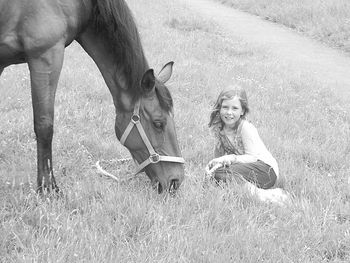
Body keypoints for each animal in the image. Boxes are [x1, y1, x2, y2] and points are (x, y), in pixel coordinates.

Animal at [0, 0, 185, 194]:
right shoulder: (46, 57)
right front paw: (48, 188)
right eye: (158, 123)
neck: (81, 6)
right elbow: (44, 126)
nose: (176, 181)